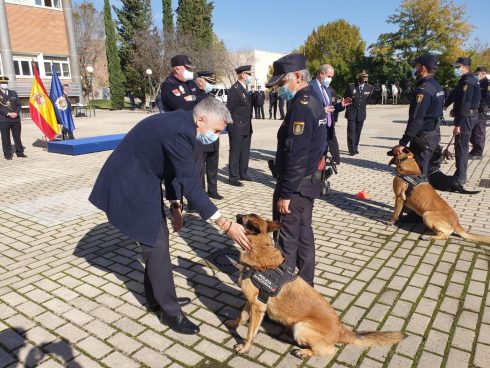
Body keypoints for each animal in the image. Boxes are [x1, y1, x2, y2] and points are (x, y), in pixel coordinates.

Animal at [226, 214, 406, 358]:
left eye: (243, 218)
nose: (237, 215)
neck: (260, 247)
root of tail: (341, 330)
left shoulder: (258, 307)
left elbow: (251, 332)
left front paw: (245, 348)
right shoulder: (251, 302)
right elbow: (242, 315)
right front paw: (235, 323)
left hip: (301, 327)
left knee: (327, 350)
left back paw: (304, 352)